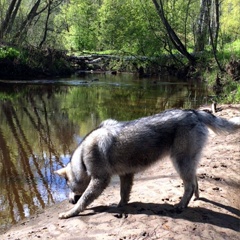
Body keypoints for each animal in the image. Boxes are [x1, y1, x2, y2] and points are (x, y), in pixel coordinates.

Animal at [55, 109, 239, 218]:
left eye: (68, 186)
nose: (69, 200)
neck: (82, 158)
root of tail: (195, 112)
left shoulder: (100, 180)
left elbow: (84, 200)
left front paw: (70, 212)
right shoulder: (126, 175)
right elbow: (123, 194)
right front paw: (120, 206)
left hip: (180, 162)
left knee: (190, 185)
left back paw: (181, 205)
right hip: (188, 162)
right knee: (195, 180)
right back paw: (195, 198)